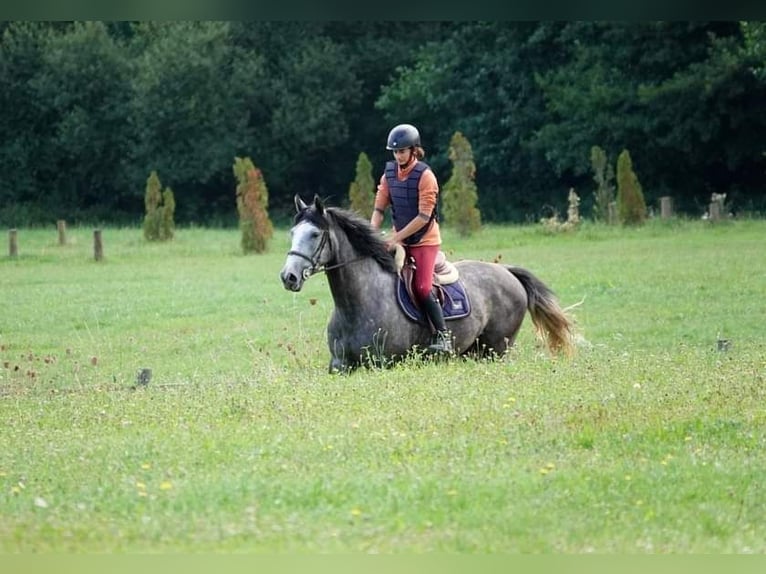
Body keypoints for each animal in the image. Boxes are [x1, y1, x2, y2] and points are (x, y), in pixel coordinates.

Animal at [280, 195, 576, 374]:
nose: (288, 277)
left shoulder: (382, 364)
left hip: (496, 350)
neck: (355, 304)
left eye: (314, 234)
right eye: (292, 233)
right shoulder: (339, 366)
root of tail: (507, 271)